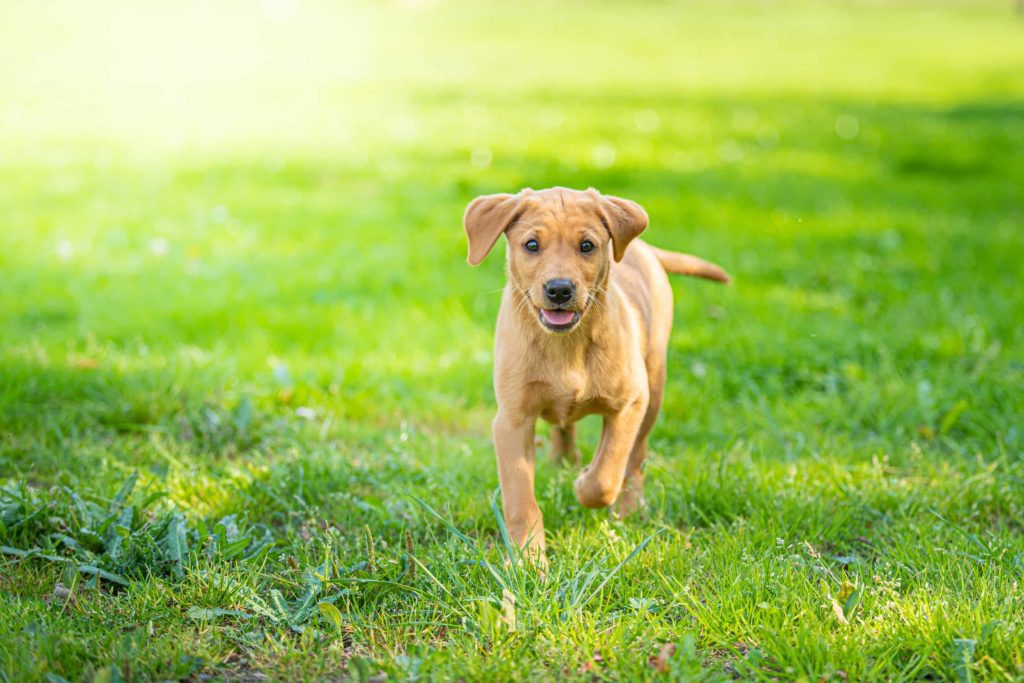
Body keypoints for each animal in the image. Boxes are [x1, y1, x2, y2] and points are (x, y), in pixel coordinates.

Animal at [464, 187, 729, 561]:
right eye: (532, 245)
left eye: (587, 245)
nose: (559, 289)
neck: (567, 345)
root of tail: (646, 250)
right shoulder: (512, 420)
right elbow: (520, 499)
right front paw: (528, 560)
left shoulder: (631, 402)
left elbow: (607, 473)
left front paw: (585, 484)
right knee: (564, 428)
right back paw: (562, 461)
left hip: (654, 388)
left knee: (636, 459)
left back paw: (626, 508)